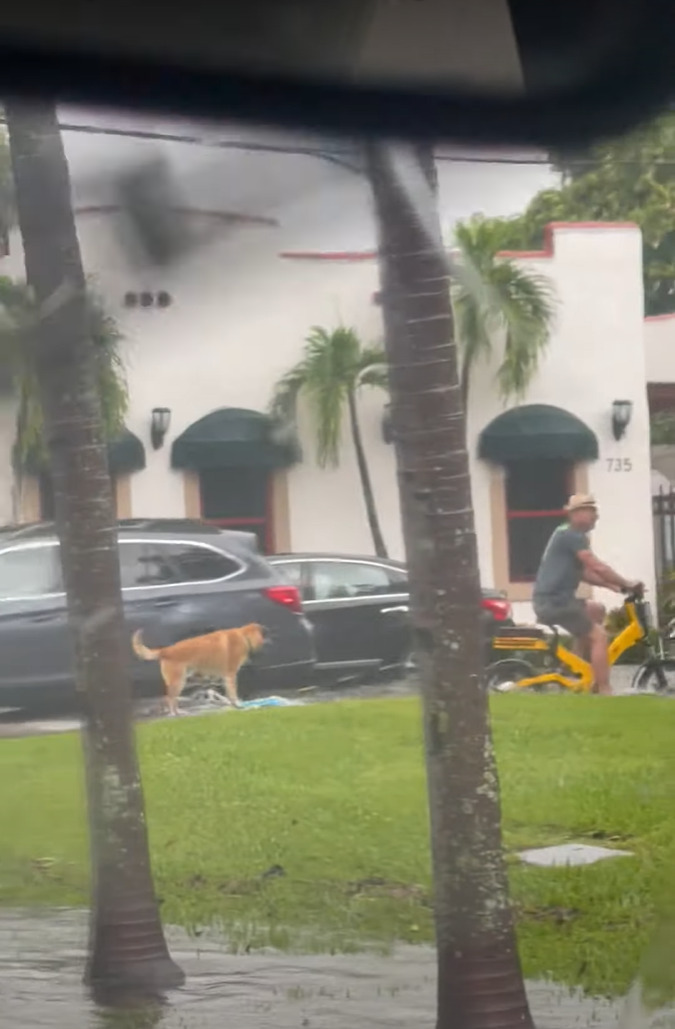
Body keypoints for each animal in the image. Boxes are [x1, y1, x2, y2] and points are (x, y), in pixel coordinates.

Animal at [131, 621, 265, 720]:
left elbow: (227, 695)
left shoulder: (224, 678)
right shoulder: (230, 675)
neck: (244, 636)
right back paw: (175, 714)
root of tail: (165, 650)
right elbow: (233, 694)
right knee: (170, 699)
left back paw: (179, 711)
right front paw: (238, 705)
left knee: (173, 699)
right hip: (178, 682)